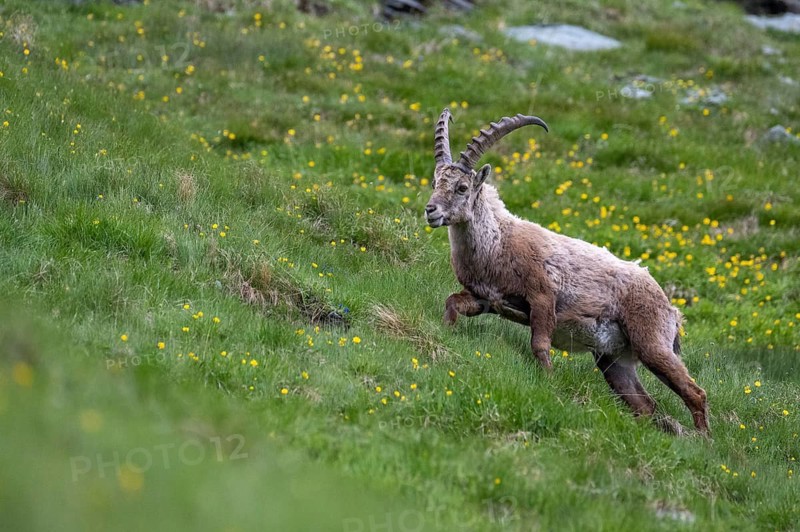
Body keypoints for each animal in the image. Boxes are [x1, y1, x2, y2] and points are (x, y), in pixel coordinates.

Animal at [424, 108, 709, 435]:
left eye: (462, 188)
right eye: (434, 182)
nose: (431, 211)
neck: (498, 243)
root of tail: (671, 308)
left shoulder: (543, 297)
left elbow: (540, 345)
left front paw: (548, 383)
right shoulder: (485, 298)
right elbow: (452, 303)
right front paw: (446, 332)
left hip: (652, 344)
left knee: (695, 393)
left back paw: (703, 439)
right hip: (614, 360)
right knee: (645, 405)